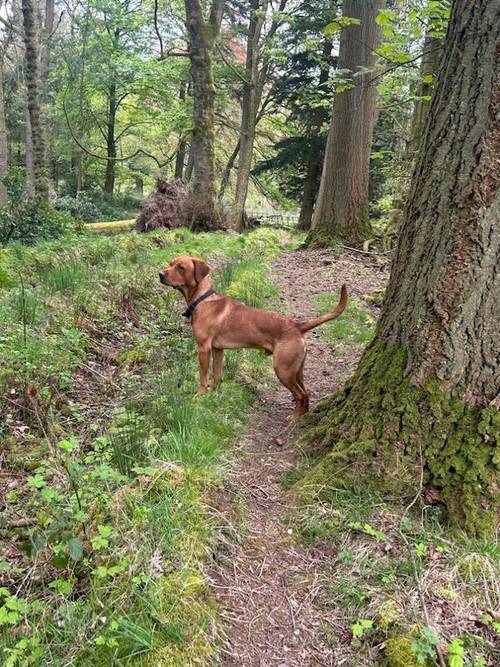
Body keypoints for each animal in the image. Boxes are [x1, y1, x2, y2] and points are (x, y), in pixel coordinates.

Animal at [160, 256, 348, 418]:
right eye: (171, 263)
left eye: (181, 268)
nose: (160, 274)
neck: (202, 299)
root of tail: (297, 326)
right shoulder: (217, 349)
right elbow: (217, 376)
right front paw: (216, 395)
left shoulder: (203, 348)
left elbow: (203, 377)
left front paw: (200, 396)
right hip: (296, 370)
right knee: (306, 393)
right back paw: (302, 416)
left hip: (283, 370)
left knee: (301, 395)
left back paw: (294, 418)